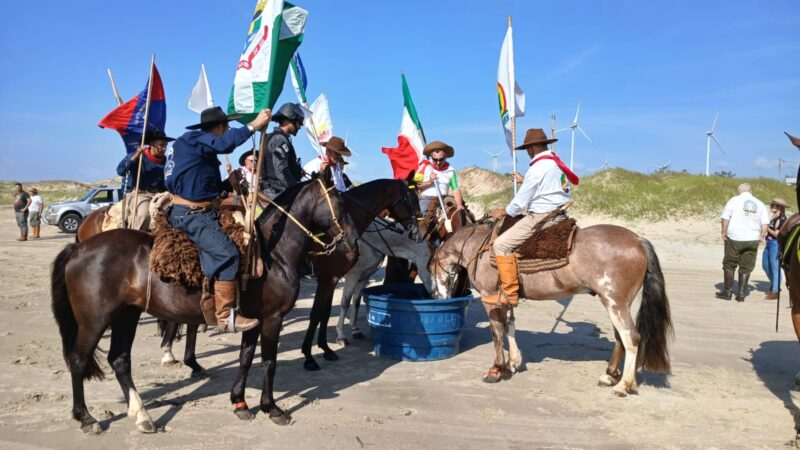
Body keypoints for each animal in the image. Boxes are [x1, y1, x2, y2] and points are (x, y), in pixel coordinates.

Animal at [51, 172, 358, 432]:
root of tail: (78, 247)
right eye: (340, 203)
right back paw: (86, 418)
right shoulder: (273, 318)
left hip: (127, 315)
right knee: (78, 360)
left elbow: (246, 358)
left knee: (119, 360)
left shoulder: (253, 320)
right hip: (95, 320)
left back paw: (141, 416)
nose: (354, 243)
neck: (273, 254)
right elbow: (269, 362)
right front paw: (271, 408)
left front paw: (240, 403)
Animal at [428, 220, 672, 396]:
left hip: (616, 303)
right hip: (615, 303)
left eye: (430, 267)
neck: (480, 247)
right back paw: (610, 376)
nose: (435, 296)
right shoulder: (506, 298)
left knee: (631, 337)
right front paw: (513, 363)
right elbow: (509, 327)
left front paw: (496, 370)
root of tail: (637, 239)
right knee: (620, 337)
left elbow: (497, 333)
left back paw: (623, 385)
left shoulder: (490, 297)